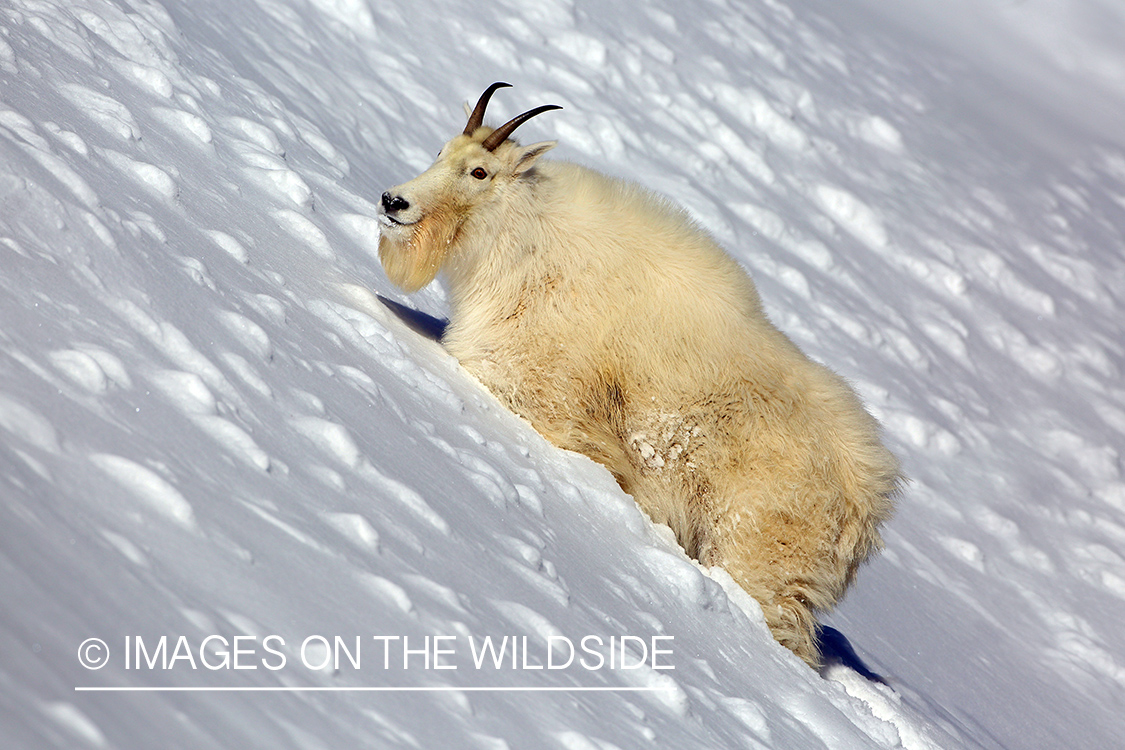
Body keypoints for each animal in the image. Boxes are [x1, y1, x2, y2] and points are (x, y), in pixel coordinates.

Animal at [382, 83, 900, 670]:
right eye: (441, 150)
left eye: (479, 172)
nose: (394, 203)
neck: (526, 242)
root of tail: (866, 502)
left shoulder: (534, 390)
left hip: (757, 556)